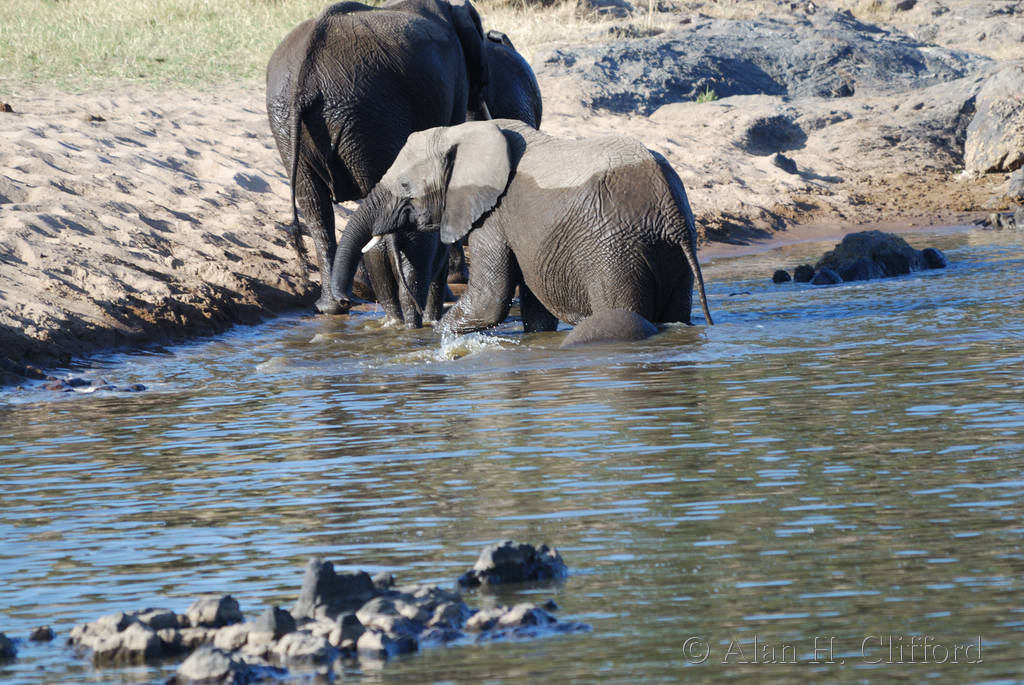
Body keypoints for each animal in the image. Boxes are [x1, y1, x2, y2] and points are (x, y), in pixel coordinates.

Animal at [265, 0, 490, 319]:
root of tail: (304, 79)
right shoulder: (455, 84)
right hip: (368, 115)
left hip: (290, 120)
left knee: (315, 208)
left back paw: (334, 306)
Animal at [331, 120, 714, 346]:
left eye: (405, 185)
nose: (345, 301)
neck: (466, 131)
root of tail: (669, 208)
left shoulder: (493, 216)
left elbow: (489, 299)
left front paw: (436, 339)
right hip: (670, 252)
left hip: (615, 250)